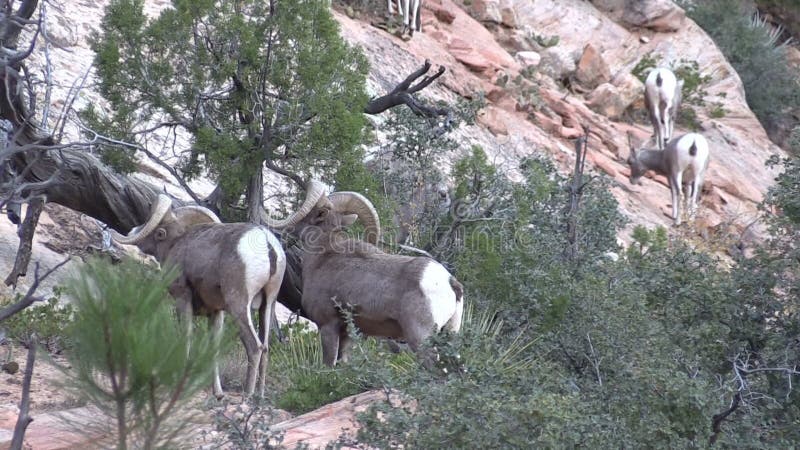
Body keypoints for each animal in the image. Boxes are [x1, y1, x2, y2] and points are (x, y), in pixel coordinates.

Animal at [111, 197, 286, 398]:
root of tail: (266, 242)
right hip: (268, 303)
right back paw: (259, 396)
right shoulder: (216, 312)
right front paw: (218, 393)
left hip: (239, 305)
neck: (175, 245)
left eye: (155, 230)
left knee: (255, 347)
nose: (131, 231)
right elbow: (213, 349)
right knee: (265, 348)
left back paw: (247, 396)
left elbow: (186, 337)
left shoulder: (182, 299)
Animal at [262, 181, 462, 368]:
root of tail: (450, 282)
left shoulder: (328, 326)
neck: (323, 256)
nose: (284, 232)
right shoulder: (348, 334)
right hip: (448, 336)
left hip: (421, 339)